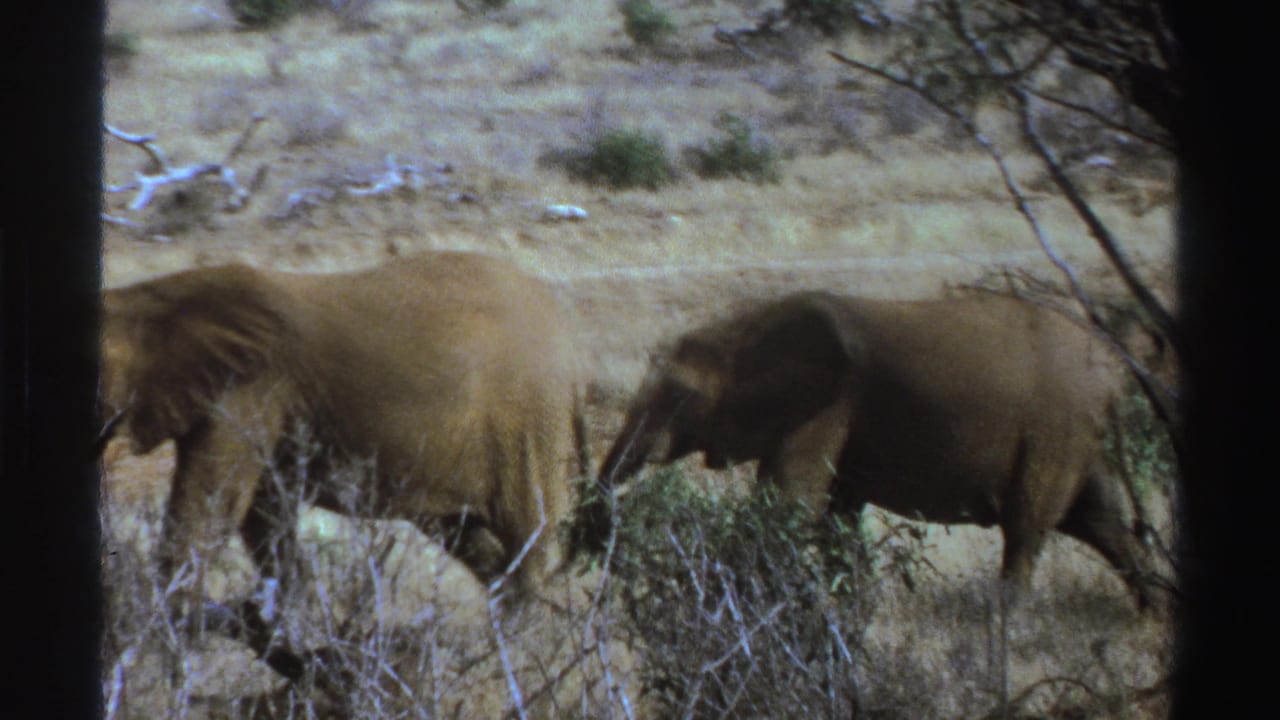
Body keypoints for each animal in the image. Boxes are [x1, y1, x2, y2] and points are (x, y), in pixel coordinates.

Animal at [99, 251, 589, 610]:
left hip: (527, 419)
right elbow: (262, 516)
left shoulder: (247, 393)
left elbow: (210, 506)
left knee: (528, 541)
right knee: (475, 544)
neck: (154, 298)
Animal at [585, 290, 1159, 611]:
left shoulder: (827, 404)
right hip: (1079, 438)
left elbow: (789, 503)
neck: (742, 330)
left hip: (1056, 432)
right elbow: (834, 516)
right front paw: (852, 606)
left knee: (1027, 528)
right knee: (1102, 523)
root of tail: (1115, 370)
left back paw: (1006, 624)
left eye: (680, 396)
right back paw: (1151, 615)